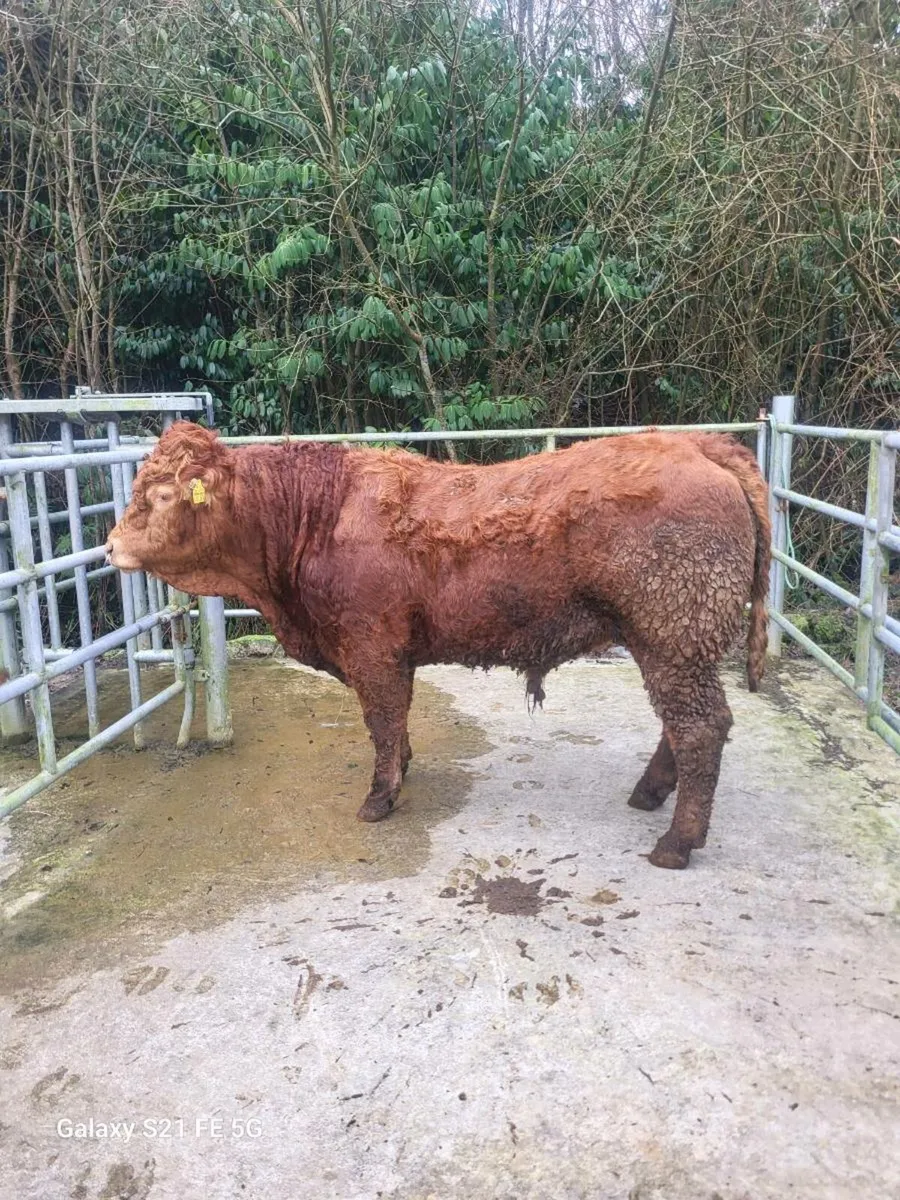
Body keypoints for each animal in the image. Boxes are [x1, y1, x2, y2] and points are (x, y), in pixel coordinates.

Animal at [107, 423, 771, 869]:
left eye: (162, 495)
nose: (109, 545)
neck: (314, 517)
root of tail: (697, 443)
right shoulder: (390, 651)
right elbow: (395, 722)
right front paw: (401, 768)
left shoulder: (371, 646)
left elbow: (381, 718)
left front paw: (380, 797)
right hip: (669, 642)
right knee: (681, 726)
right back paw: (648, 796)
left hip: (673, 633)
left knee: (700, 728)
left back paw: (677, 842)